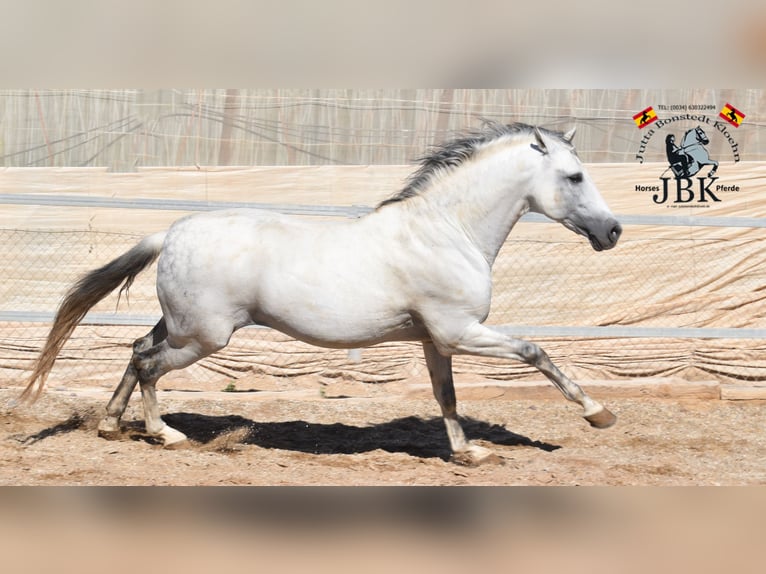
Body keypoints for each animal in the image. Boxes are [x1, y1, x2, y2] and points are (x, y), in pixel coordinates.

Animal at [21, 122, 624, 468]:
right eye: (574, 177)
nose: (613, 231)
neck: (447, 231)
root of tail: (169, 233)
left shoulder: (436, 340)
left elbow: (446, 396)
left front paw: (468, 453)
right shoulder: (460, 331)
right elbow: (534, 351)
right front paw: (599, 414)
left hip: (181, 325)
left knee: (135, 352)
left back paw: (109, 426)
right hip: (204, 337)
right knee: (148, 366)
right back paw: (165, 436)